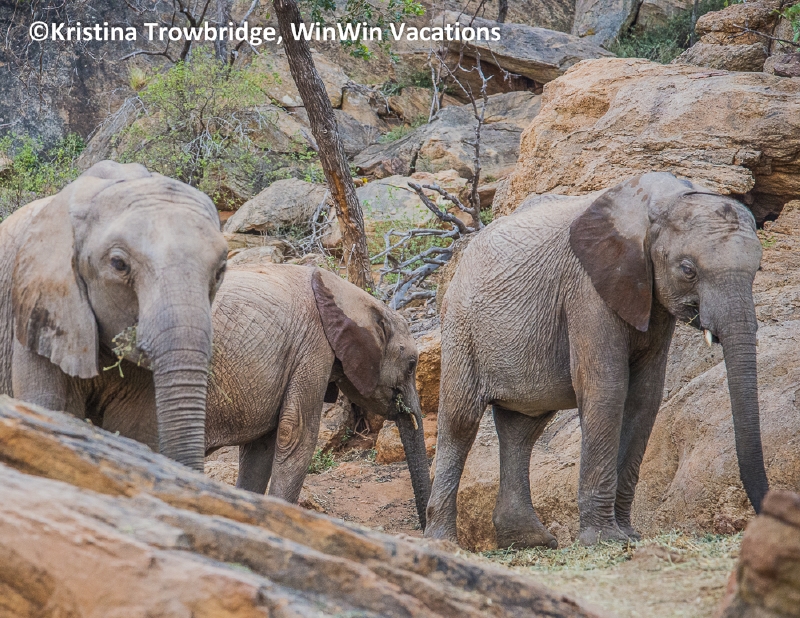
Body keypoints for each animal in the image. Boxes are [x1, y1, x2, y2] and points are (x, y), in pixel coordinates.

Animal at [425, 172, 769, 547]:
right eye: (688, 270)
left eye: (758, 268)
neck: (662, 201)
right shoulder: (586, 287)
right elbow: (607, 388)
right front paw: (605, 539)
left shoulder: (650, 299)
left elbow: (645, 397)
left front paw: (628, 535)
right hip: (461, 326)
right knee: (460, 421)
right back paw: (444, 541)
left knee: (522, 429)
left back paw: (531, 540)